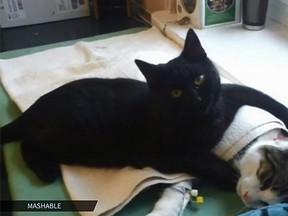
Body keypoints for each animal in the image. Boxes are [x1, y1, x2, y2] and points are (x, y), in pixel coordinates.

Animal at [2, 28, 288, 189]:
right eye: (176, 93)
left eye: (199, 79)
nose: (197, 99)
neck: (208, 121)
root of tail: (41, 102)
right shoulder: (164, 154)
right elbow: (200, 159)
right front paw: (230, 176)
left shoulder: (231, 93)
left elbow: (265, 98)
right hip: (69, 139)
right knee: (27, 140)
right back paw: (46, 170)